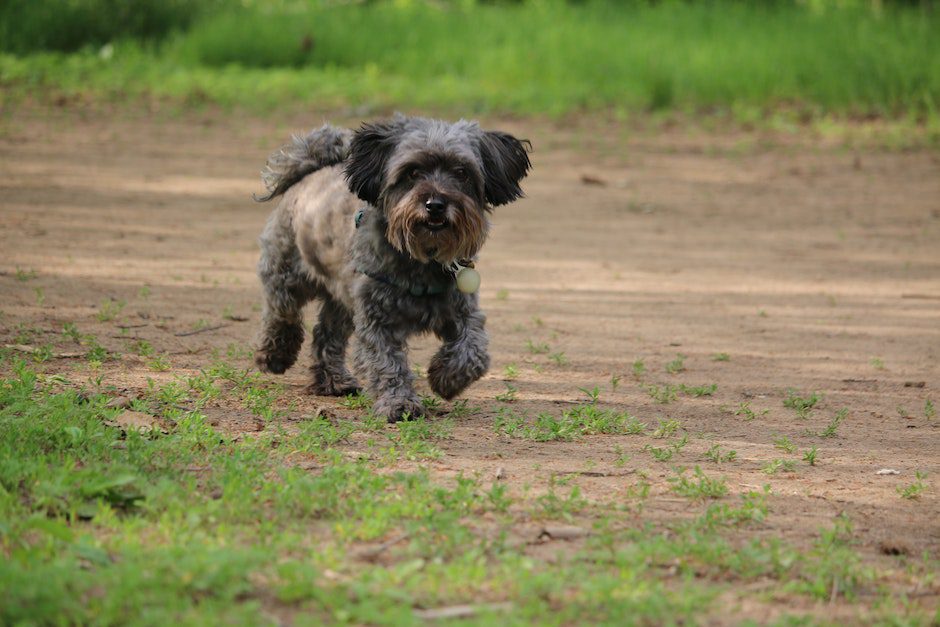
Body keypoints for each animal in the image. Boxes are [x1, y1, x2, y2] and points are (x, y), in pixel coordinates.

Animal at [252, 116, 528, 424]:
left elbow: (474, 352)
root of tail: (312, 170)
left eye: (462, 172)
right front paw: (400, 403)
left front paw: (445, 378)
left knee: (326, 334)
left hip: (343, 299)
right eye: (412, 171)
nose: (435, 205)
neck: (421, 259)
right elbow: (386, 363)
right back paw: (275, 355)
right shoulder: (377, 321)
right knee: (281, 313)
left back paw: (334, 381)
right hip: (287, 273)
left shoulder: (463, 310)